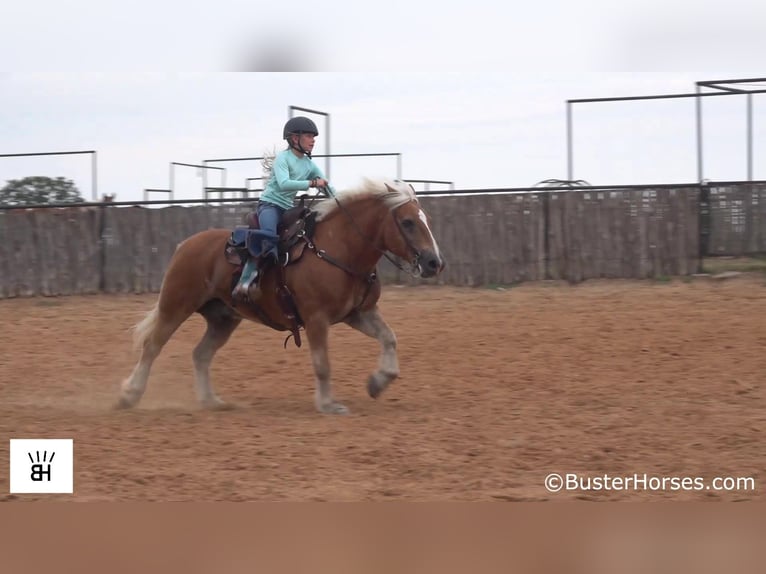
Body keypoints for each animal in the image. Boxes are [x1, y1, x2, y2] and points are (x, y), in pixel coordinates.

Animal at [117, 179, 448, 414]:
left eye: (428, 220)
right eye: (407, 222)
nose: (434, 262)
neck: (338, 249)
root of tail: (185, 245)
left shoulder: (359, 313)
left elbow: (389, 338)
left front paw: (378, 383)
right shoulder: (316, 319)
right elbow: (322, 363)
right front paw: (328, 404)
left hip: (222, 317)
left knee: (200, 354)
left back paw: (212, 401)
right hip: (176, 305)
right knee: (152, 346)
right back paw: (129, 395)